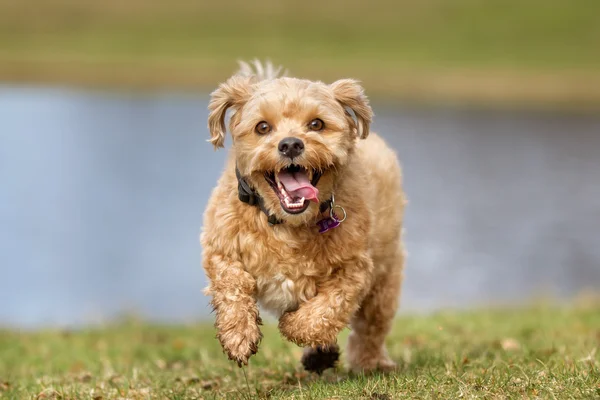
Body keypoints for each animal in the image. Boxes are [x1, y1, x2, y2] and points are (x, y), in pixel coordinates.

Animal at [202, 61, 408, 374]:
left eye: (316, 124)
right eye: (263, 127)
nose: (290, 144)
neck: (286, 223)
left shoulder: (355, 270)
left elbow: (326, 310)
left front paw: (294, 325)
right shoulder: (219, 246)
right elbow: (231, 283)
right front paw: (238, 334)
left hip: (385, 280)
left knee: (371, 329)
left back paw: (368, 362)